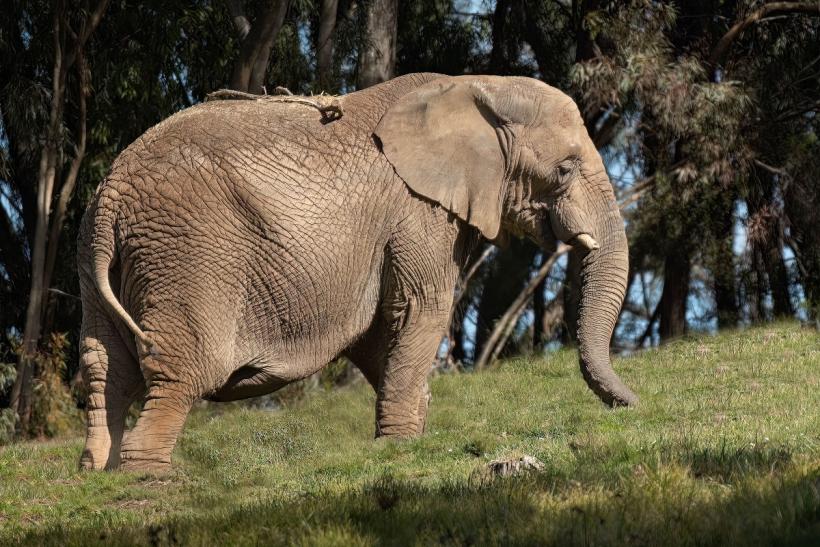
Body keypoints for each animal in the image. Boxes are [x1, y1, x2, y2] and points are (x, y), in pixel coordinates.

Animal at [77, 73, 637, 471]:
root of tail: (112, 195)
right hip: (187, 255)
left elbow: (376, 335)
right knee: (182, 368)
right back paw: (148, 475)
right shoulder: (417, 211)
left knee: (105, 366)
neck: (478, 86)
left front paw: (405, 434)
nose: (632, 407)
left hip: (96, 258)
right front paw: (403, 448)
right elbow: (420, 309)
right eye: (564, 169)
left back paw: (96, 471)